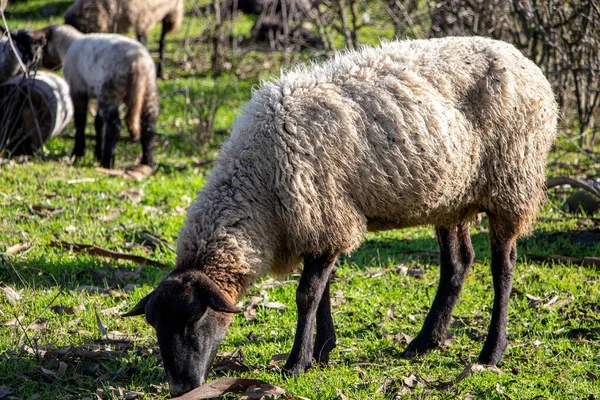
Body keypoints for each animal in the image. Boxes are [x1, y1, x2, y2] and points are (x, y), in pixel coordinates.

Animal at [25, 24, 159, 169]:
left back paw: (108, 162)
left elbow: (80, 121)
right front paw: (97, 153)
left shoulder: (77, 89)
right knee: (149, 126)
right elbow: (98, 123)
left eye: (44, 46)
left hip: (110, 89)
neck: (67, 45)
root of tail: (138, 64)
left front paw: (78, 153)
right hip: (148, 90)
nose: (45, 64)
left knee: (115, 127)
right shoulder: (96, 93)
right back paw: (147, 162)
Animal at [124, 36, 560, 396]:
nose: (181, 388)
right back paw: (424, 342)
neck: (257, 182)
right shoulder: (322, 220)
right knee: (458, 263)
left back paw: (491, 352)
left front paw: (296, 363)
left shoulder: (323, 213)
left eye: (192, 321)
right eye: (156, 326)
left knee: (503, 265)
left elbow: (306, 295)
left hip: (511, 180)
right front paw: (322, 350)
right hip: (451, 195)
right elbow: (323, 293)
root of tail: (526, 61)